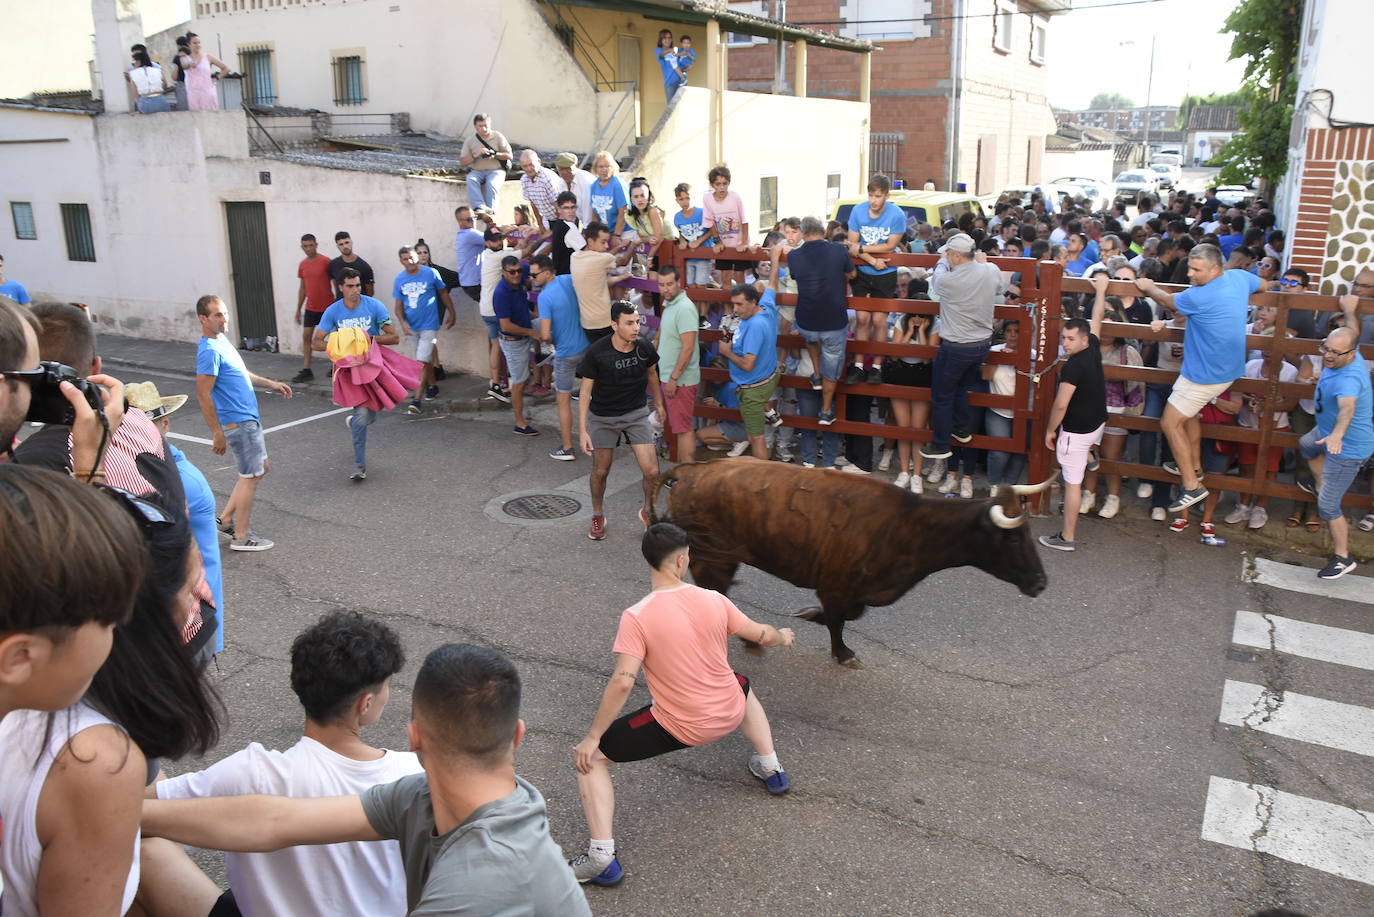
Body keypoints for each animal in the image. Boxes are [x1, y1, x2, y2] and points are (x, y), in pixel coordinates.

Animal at [654, 459, 1049, 668]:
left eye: (1029, 532)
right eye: (1013, 538)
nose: (1041, 583)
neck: (909, 525)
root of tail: (691, 470)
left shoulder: (853, 590)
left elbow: (846, 615)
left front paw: (811, 617)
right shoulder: (836, 585)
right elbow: (838, 619)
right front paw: (842, 652)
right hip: (714, 557)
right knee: (714, 593)